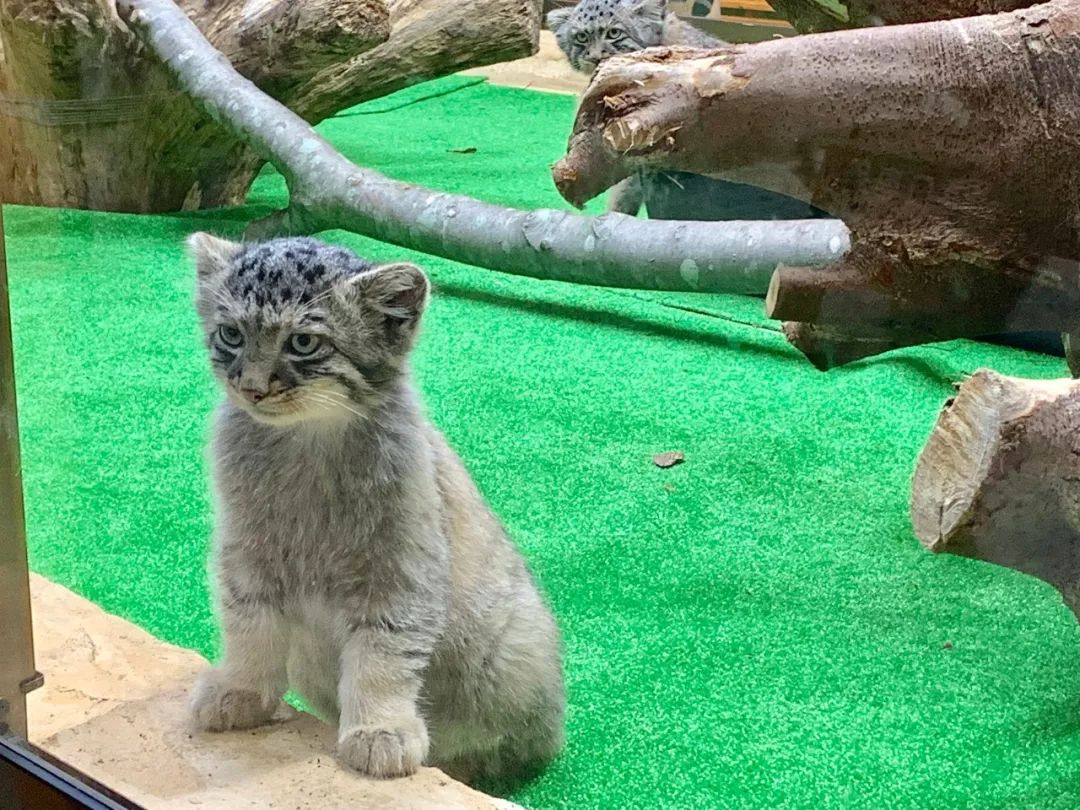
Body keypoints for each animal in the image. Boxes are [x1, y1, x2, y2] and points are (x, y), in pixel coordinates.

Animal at [186, 233, 565, 781]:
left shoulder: (400, 575)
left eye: (303, 343)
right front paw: (242, 690)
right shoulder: (246, 556)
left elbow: (380, 660)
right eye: (231, 334)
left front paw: (379, 730)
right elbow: (250, 631)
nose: (252, 387)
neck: (307, 445)